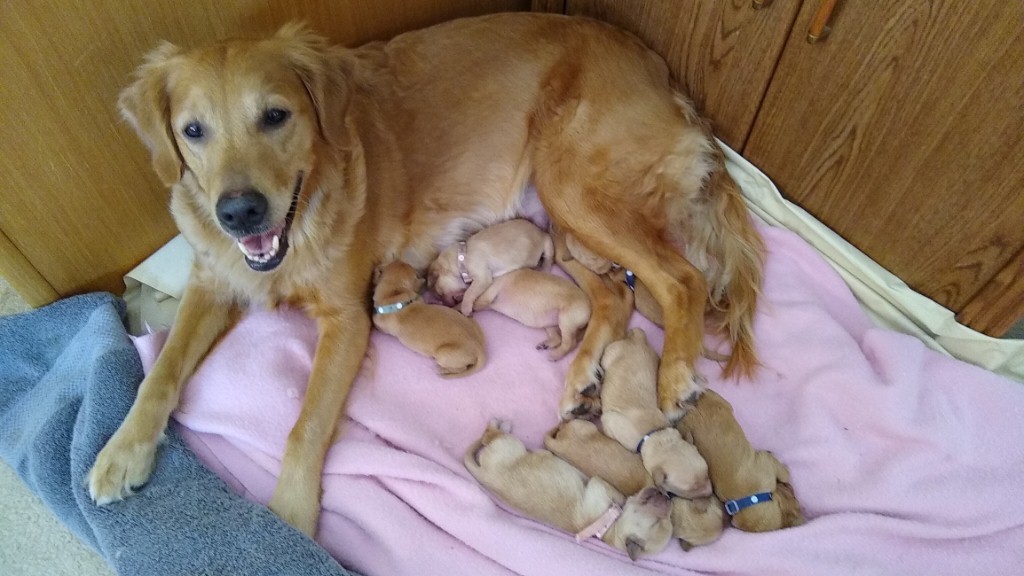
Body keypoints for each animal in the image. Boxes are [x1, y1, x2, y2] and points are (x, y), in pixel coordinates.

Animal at [464, 420, 671, 557]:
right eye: (657, 522)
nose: (666, 497)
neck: (608, 527)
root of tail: (483, 474)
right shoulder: (598, 484)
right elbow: (616, 493)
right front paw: (624, 498)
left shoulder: (597, 485)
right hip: (510, 444)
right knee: (488, 435)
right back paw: (500, 424)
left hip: (509, 446)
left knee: (489, 437)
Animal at [598, 327, 712, 498]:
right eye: (691, 489)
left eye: (707, 474)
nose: (711, 492)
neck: (657, 435)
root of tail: (638, 340)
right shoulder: (611, 423)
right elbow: (607, 423)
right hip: (611, 354)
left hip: (653, 358)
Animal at [675, 387, 802, 532]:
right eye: (793, 498)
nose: (791, 488)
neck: (748, 499)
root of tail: (692, 406)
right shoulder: (766, 461)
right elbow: (784, 473)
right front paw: (786, 469)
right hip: (723, 402)